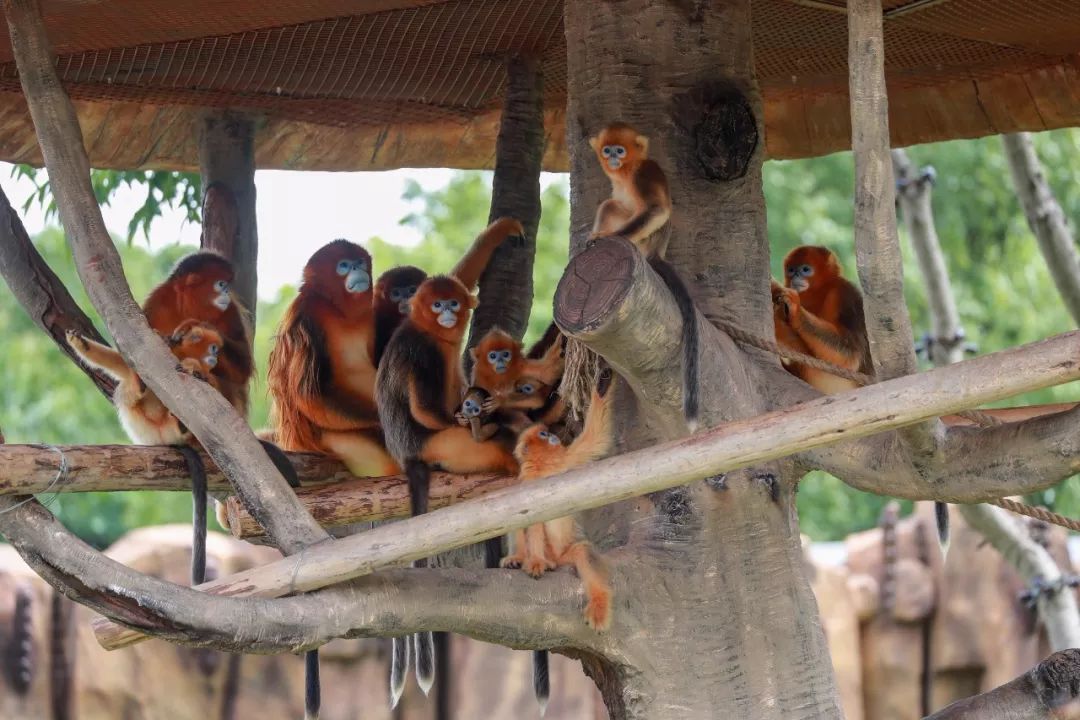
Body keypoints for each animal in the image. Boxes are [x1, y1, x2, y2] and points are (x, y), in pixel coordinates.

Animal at [591, 122, 699, 427]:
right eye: (607, 150)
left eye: (620, 150)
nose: (612, 158)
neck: (628, 171)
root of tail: (656, 253)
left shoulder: (645, 173)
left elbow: (657, 209)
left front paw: (606, 238)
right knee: (610, 205)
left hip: (642, 241)